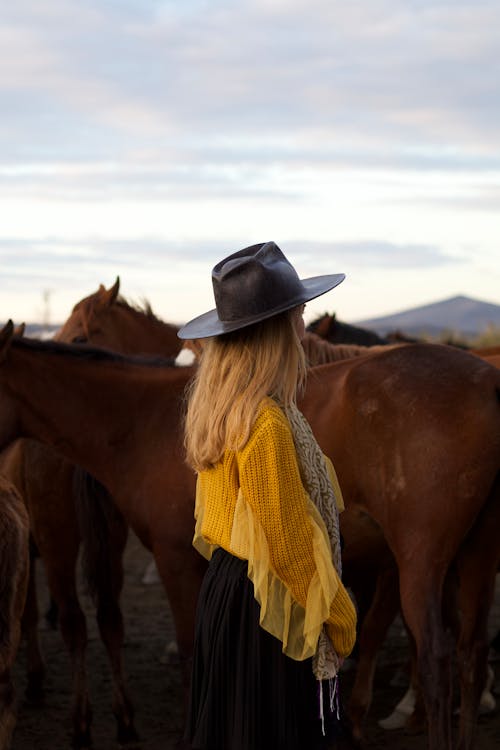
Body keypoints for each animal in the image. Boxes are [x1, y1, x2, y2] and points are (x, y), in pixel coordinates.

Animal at [0, 326, 500, 748]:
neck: (143, 420)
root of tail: (485, 381)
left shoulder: (174, 559)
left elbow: (189, 653)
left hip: (421, 564)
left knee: (437, 660)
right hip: (476, 556)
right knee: (471, 655)